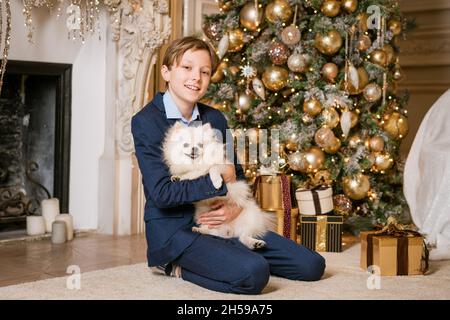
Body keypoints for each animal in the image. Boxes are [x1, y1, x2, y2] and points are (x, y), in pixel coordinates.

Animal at [162, 121, 274, 249]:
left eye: (200, 145)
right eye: (186, 145)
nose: (194, 148)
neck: (196, 163)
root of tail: (230, 230)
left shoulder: (223, 168)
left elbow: (213, 168)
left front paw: (216, 182)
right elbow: (188, 174)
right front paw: (177, 177)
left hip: (250, 219)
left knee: (244, 236)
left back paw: (255, 243)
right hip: (205, 218)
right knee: (215, 232)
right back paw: (200, 230)